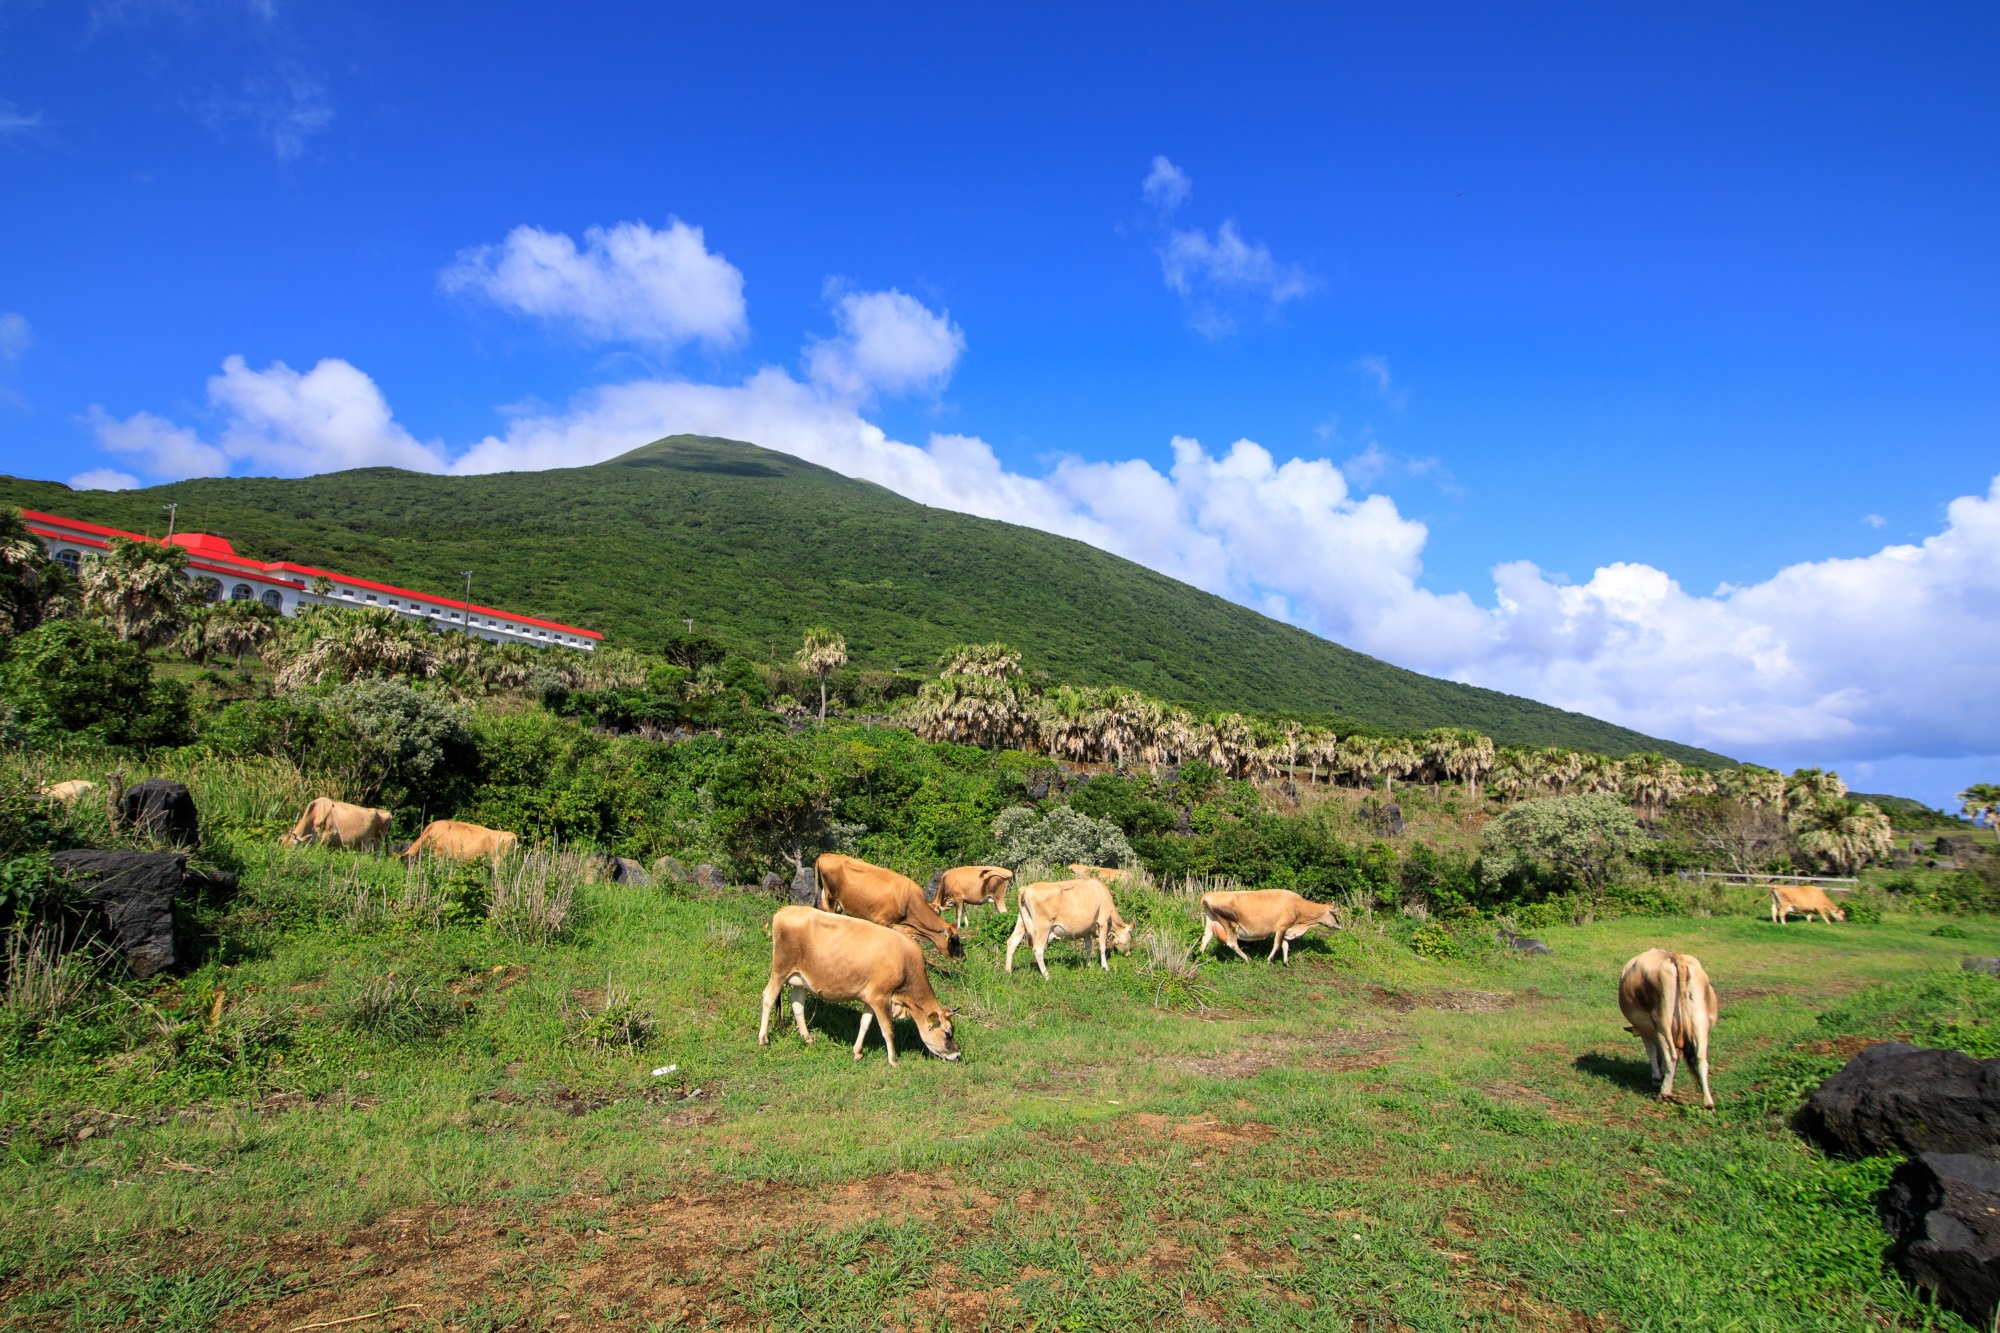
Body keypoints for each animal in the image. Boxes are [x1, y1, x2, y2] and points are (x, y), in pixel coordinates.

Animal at [756, 904, 960, 1056]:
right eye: (948, 1033)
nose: (957, 1055)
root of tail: (784, 910)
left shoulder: (871, 998)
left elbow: (865, 1023)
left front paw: (857, 1052)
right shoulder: (881, 998)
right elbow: (888, 1029)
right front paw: (893, 1060)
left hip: (800, 978)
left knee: (797, 1004)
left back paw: (807, 1039)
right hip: (780, 969)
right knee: (769, 997)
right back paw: (764, 1039)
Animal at [1008, 872, 1136, 976]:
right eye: (1130, 934)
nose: (1129, 954)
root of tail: (1026, 888)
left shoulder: (1086, 930)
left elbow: (1088, 947)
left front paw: (1089, 966)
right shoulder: (1103, 922)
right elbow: (1102, 946)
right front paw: (1105, 967)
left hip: (1021, 922)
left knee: (1012, 942)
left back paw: (1008, 971)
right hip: (1043, 926)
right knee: (1038, 949)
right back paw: (1046, 976)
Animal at [1200, 888, 1344, 960]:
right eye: (1334, 915)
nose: (1339, 926)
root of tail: (1209, 895)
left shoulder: (1287, 929)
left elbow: (1285, 945)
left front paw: (1286, 962)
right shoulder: (1282, 927)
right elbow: (1277, 945)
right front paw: (1269, 960)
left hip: (1211, 921)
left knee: (1205, 938)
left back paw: (1199, 955)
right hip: (1230, 924)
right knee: (1231, 943)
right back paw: (1247, 959)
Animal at [1624, 944, 1720, 1112]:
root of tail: (1673, 955)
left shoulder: (1645, 1030)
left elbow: (1652, 1052)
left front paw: (1657, 1078)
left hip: (1663, 1021)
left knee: (1672, 1056)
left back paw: (1665, 1093)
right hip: (1700, 1021)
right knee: (1701, 1059)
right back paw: (1708, 1102)